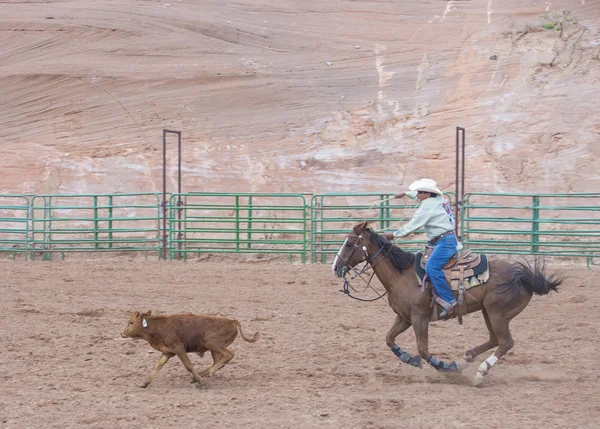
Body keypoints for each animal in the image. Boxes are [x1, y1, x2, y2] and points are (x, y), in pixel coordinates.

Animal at [120, 310, 258, 386]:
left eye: (131, 322)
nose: (122, 333)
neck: (158, 327)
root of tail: (232, 322)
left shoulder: (179, 349)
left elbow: (188, 365)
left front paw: (201, 383)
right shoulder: (168, 352)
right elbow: (158, 365)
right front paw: (144, 382)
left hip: (213, 344)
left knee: (229, 355)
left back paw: (208, 373)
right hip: (214, 349)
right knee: (219, 361)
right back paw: (198, 376)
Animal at [330, 221, 560, 384]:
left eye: (349, 244)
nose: (335, 267)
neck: (402, 275)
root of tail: (523, 277)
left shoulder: (419, 318)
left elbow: (423, 350)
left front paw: (445, 367)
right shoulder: (404, 318)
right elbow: (389, 339)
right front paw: (408, 358)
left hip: (498, 314)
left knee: (505, 342)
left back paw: (479, 372)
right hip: (488, 312)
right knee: (495, 340)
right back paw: (465, 360)